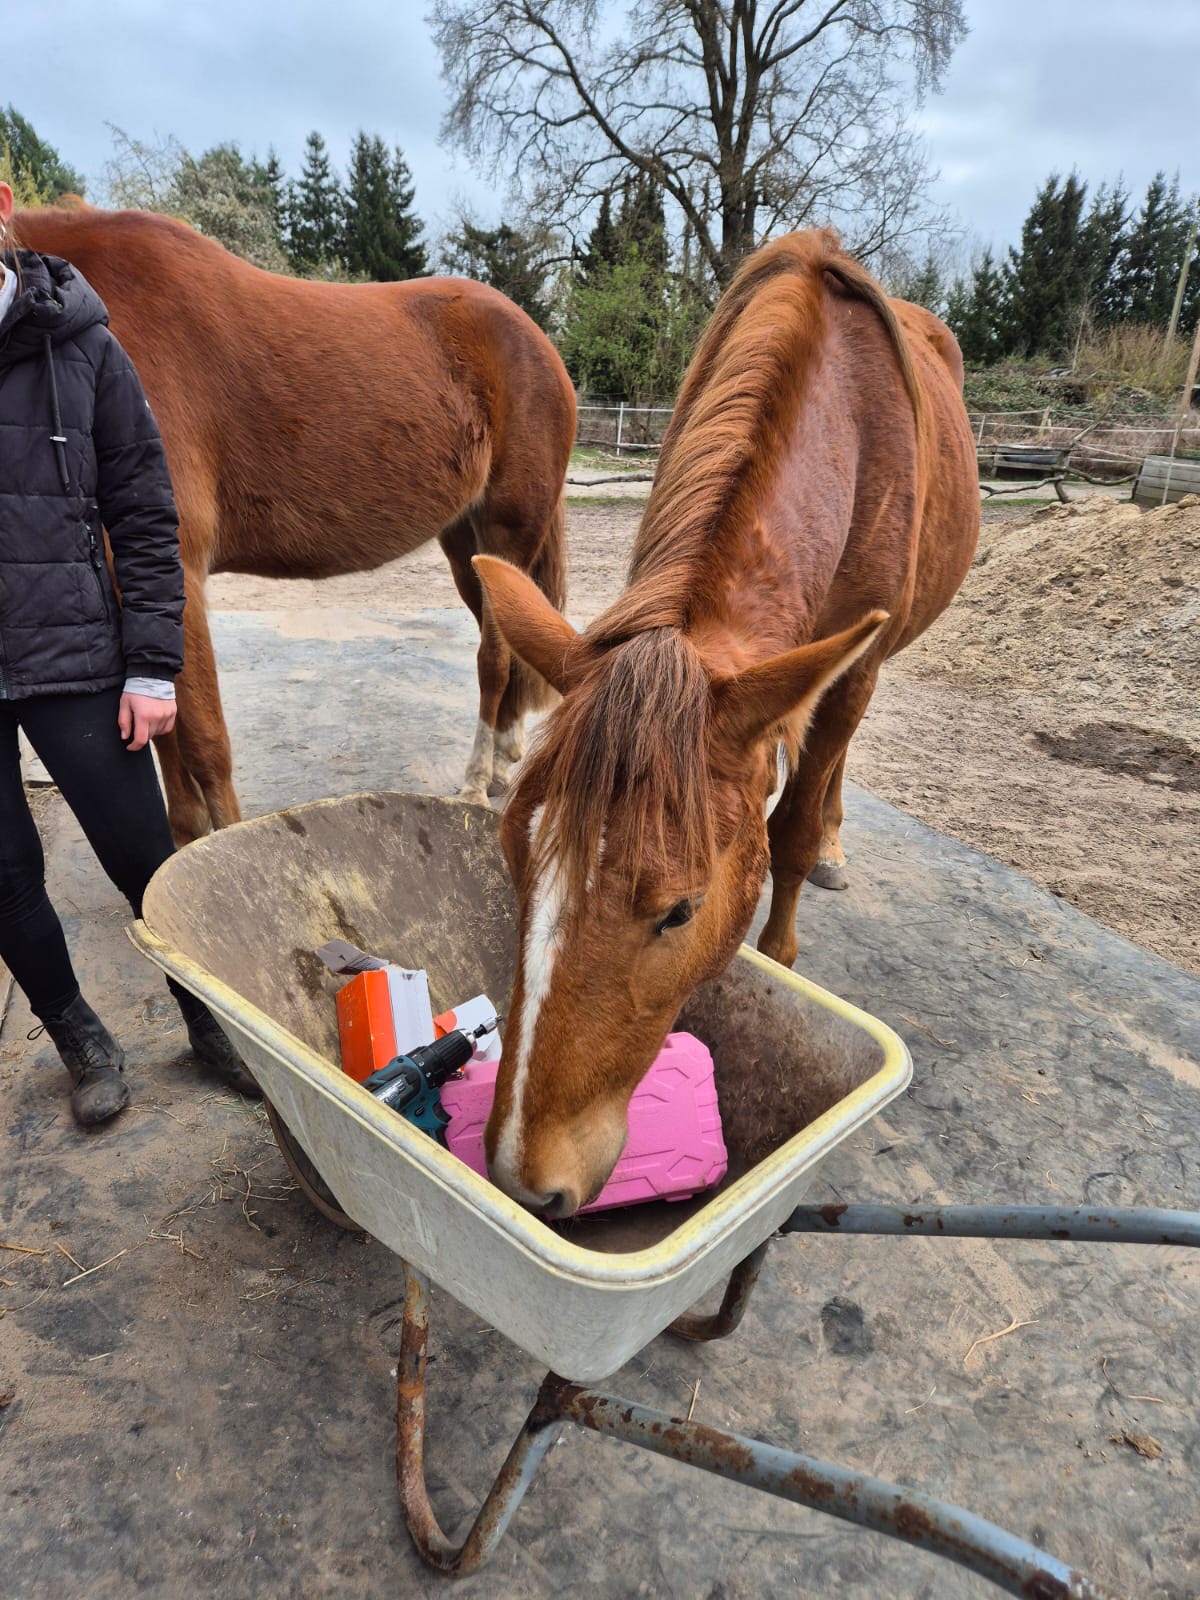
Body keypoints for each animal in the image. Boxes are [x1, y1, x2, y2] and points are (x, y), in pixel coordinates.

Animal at [15, 203, 575, 840]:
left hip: (508, 531)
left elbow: (206, 749)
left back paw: (477, 784)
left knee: (494, 659)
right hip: (466, 544)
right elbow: (170, 758)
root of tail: (536, 338)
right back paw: (504, 762)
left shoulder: (175, 569)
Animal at [470, 227, 980, 1218]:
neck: (841, 419)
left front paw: (778, 952)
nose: (522, 1179)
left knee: (827, 778)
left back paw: (833, 844)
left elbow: (788, 834)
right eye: (512, 854)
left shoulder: (848, 672)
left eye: (679, 912)